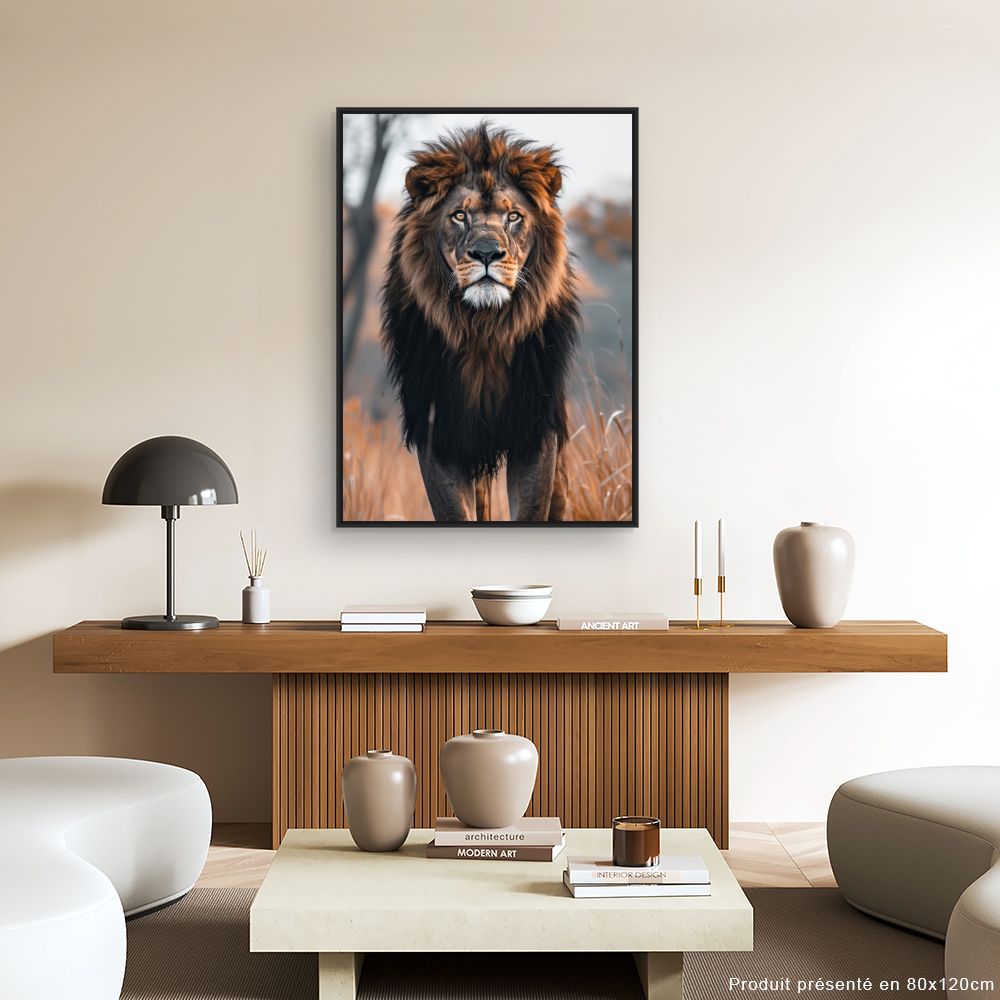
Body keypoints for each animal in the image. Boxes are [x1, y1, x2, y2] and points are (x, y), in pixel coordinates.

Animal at [379, 121, 580, 522]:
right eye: (460, 215)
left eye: (513, 216)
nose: (486, 253)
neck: (483, 329)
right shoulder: (438, 431)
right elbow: (454, 513)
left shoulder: (536, 430)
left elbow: (532, 510)